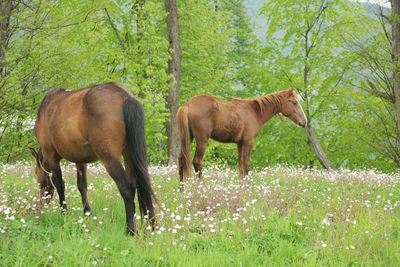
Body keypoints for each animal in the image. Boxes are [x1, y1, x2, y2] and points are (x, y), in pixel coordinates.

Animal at [30, 81, 156, 234]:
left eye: (36, 173)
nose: (41, 204)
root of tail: (125, 97)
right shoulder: (80, 159)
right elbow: (82, 186)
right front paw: (87, 214)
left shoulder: (51, 156)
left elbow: (59, 184)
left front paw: (63, 213)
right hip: (128, 154)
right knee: (137, 184)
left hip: (110, 158)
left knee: (126, 187)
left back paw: (130, 230)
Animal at [177, 86, 308, 186]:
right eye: (294, 102)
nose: (304, 122)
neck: (255, 111)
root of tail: (188, 104)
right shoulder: (248, 142)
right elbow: (246, 166)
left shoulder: (240, 144)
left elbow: (240, 167)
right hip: (202, 140)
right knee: (197, 162)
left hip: (187, 138)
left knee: (181, 160)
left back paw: (181, 189)